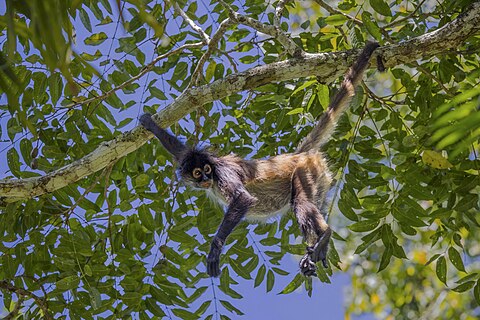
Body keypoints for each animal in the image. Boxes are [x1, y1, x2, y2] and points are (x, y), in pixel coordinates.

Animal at [141, 42, 380, 278]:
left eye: (207, 170)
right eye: (198, 173)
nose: (206, 178)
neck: (215, 172)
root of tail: (297, 155)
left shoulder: (223, 172)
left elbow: (242, 199)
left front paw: (215, 248)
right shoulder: (192, 157)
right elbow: (179, 149)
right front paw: (150, 124)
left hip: (306, 169)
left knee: (301, 202)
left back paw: (326, 234)